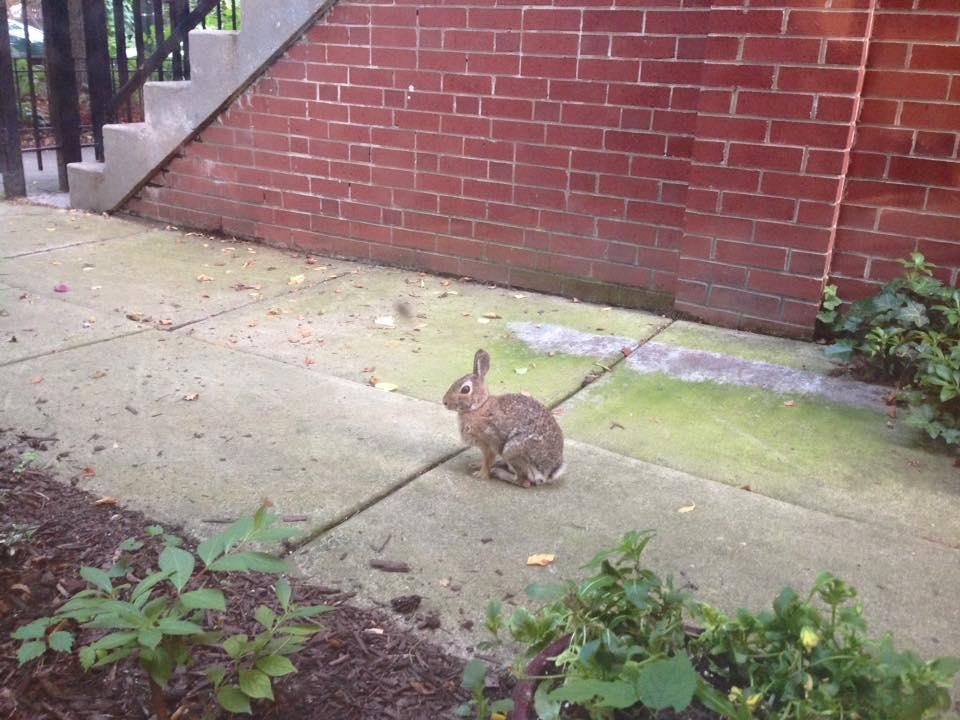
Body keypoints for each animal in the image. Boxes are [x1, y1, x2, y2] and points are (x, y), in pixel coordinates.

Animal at [443, 349, 566, 488]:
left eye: (465, 389)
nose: (444, 402)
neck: (479, 406)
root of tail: (549, 471)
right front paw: (476, 465)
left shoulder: (490, 443)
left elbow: (488, 461)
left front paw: (480, 475)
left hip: (512, 450)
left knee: (524, 481)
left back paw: (499, 473)